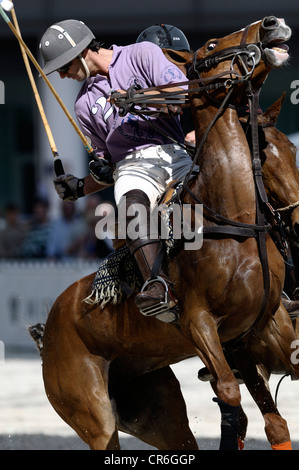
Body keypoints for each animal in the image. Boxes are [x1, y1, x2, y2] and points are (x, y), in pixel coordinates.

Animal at [29, 19, 296, 452]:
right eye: (211, 44)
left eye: (291, 151)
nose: (272, 25)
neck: (235, 217)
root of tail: (47, 328)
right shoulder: (200, 323)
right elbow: (230, 392)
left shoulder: (260, 327)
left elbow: (274, 422)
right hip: (91, 412)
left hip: (156, 407)